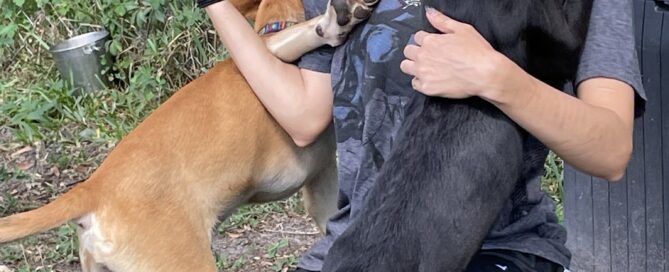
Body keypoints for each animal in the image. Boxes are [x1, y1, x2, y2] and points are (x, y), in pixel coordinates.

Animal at [0, 1, 366, 270]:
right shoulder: (272, 54)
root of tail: (94, 189)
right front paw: (335, 21)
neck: (273, 25)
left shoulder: (321, 186)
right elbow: (310, 31)